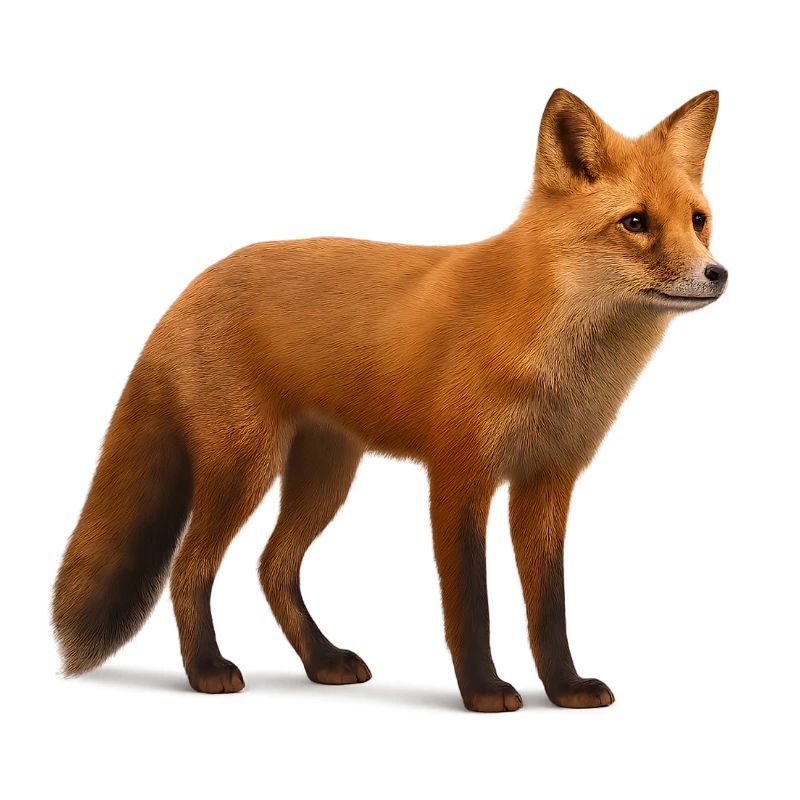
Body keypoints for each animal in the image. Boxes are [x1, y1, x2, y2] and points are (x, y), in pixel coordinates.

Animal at [53, 88, 726, 712]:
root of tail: (191, 286)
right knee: (189, 567)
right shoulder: (459, 476)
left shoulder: (546, 481)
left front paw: (565, 688)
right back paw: (206, 670)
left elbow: (550, 607)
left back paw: (322, 660)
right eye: (635, 223)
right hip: (244, 468)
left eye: (698, 220)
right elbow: (470, 604)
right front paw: (483, 691)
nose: (717, 274)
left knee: (273, 566)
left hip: (325, 476)